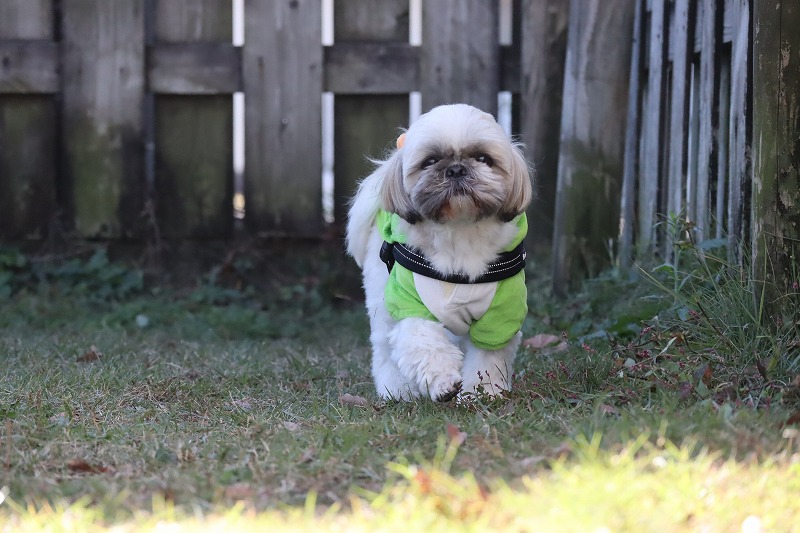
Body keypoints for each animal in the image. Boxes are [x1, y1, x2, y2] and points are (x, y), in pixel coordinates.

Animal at [346, 104, 533, 402]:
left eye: (483, 158)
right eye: (430, 161)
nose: (456, 169)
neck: (460, 232)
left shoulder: (501, 313)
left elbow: (487, 359)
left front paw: (482, 393)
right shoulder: (407, 300)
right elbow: (423, 341)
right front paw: (444, 382)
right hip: (380, 297)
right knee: (384, 346)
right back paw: (396, 389)